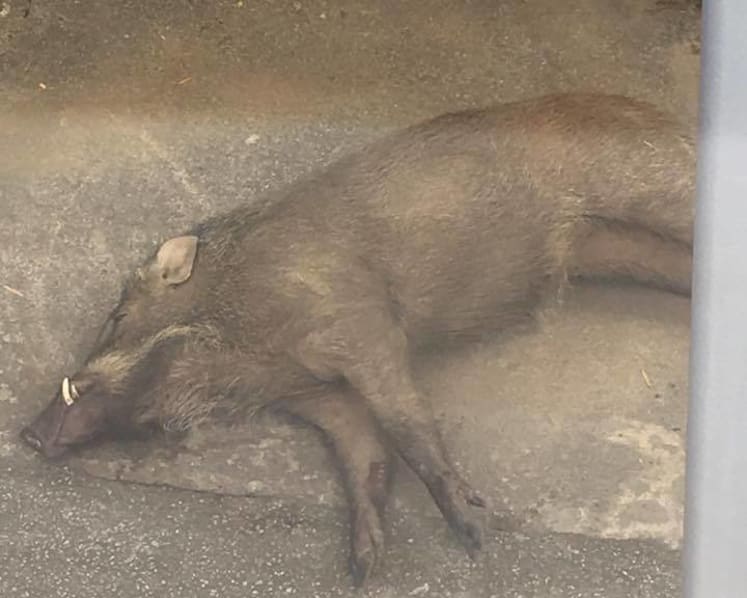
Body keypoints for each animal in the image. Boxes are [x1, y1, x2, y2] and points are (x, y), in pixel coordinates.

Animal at [21, 92, 695, 585]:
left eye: (116, 314)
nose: (26, 433)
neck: (242, 334)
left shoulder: (364, 330)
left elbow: (408, 425)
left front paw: (475, 534)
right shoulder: (318, 395)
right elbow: (364, 454)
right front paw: (363, 566)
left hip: (653, 188)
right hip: (622, 247)